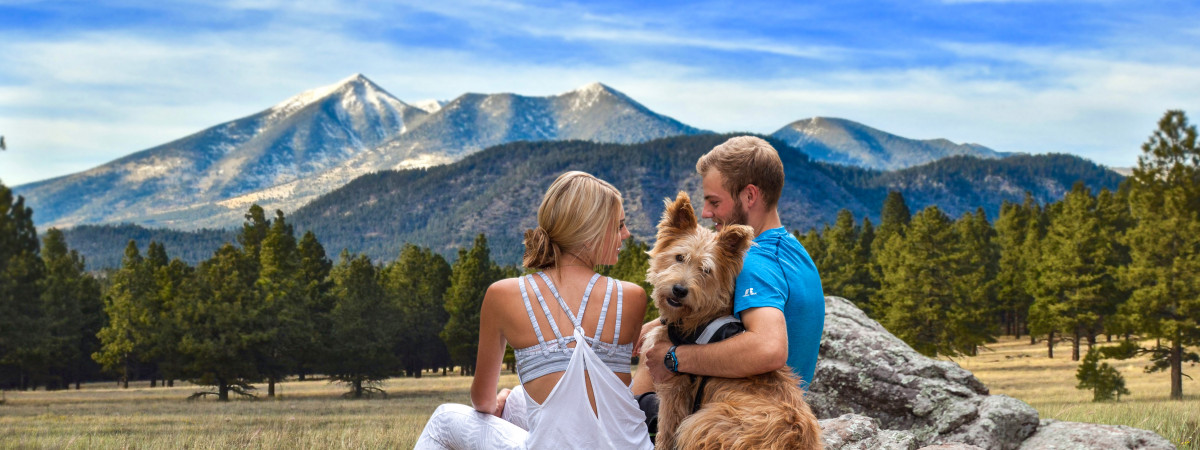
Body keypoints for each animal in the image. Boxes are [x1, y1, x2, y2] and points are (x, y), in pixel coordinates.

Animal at [648, 193, 825, 450]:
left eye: (706, 270)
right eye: (679, 257)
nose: (679, 290)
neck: (701, 316)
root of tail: (793, 441)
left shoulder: (675, 391)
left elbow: (665, 432)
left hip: (702, 422)